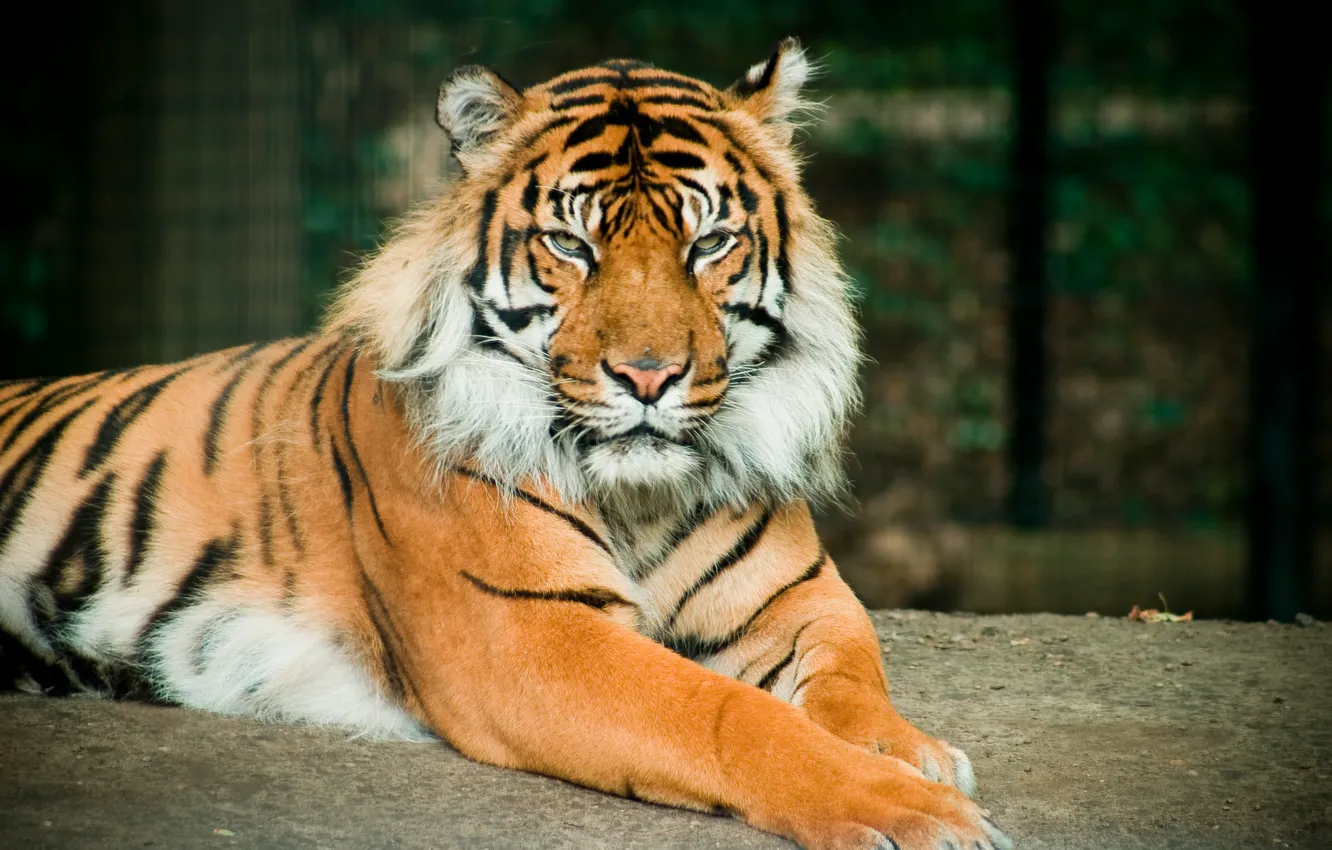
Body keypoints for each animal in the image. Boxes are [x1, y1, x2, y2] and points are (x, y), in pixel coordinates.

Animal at [0, 38, 1011, 850]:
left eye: (709, 243)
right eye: (572, 246)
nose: (648, 377)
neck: (640, 497)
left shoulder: (803, 599)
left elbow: (851, 678)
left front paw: (909, 752)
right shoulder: (530, 634)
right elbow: (729, 716)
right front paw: (907, 806)